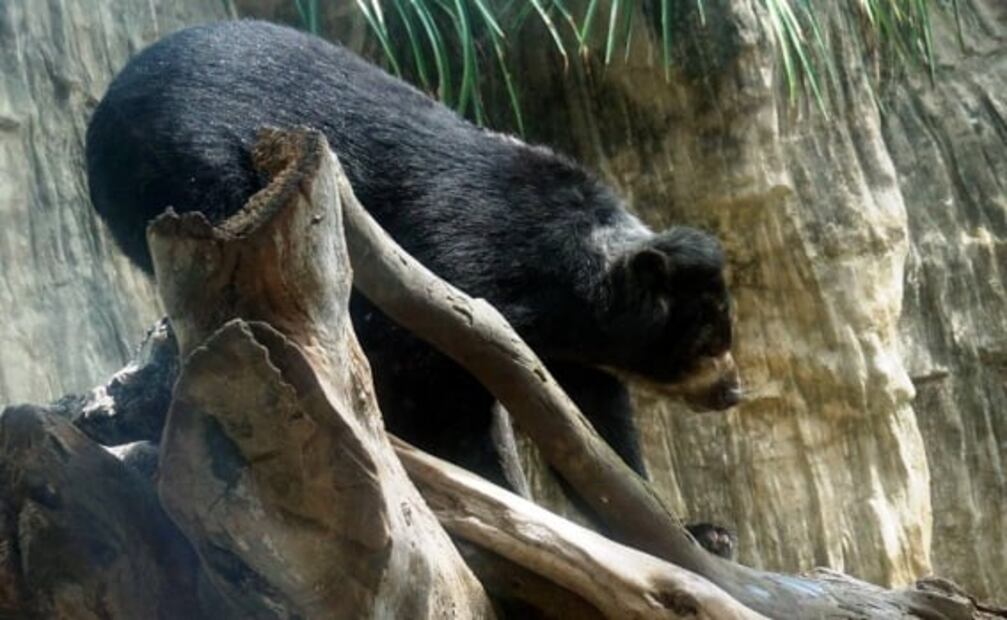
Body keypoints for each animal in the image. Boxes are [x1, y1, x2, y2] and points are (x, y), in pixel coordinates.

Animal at [85, 20, 740, 489]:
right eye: (706, 338)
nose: (733, 392)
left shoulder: (572, 346)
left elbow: (592, 422)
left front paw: (697, 530)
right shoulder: (459, 270)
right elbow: (430, 382)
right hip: (192, 173)